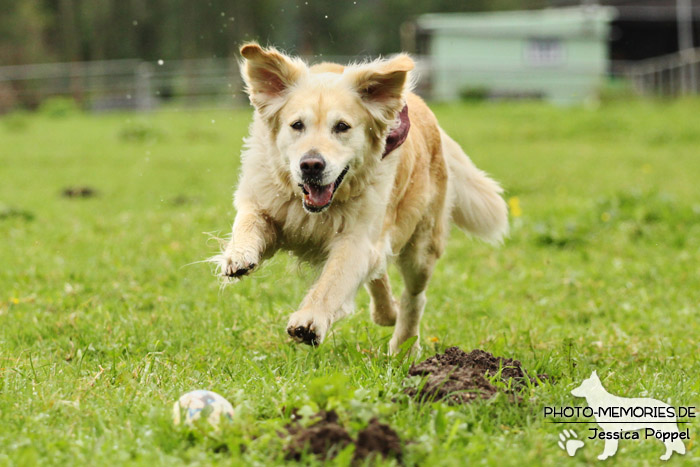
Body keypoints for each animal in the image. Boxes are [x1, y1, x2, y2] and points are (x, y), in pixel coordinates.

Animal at [215, 44, 508, 352]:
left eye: (342, 127)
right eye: (297, 125)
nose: (311, 165)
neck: (316, 210)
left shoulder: (357, 239)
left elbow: (333, 282)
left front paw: (309, 321)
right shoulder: (265, 199)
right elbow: (248, 221)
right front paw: (239, 255)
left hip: (422, 247)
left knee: (414, 297)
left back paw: (404, 345)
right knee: (379, 274)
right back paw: (386, 312)